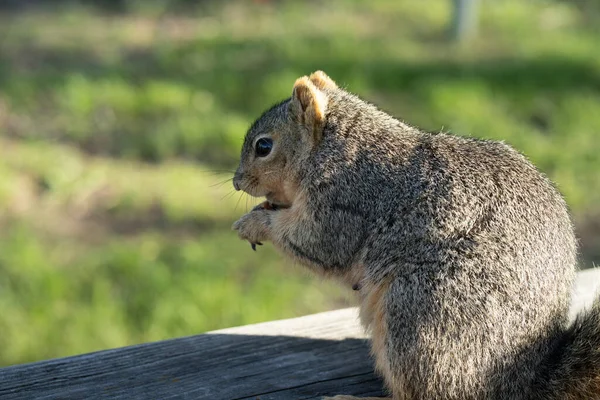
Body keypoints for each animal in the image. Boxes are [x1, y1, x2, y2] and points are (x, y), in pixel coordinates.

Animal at [231, 72, 600, 400]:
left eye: (263, 146)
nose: (236, 182)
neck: (336, 148)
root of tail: (517, 383)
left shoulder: (345, 201)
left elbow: (316, 243)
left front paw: (253, 223)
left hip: (418, 313)